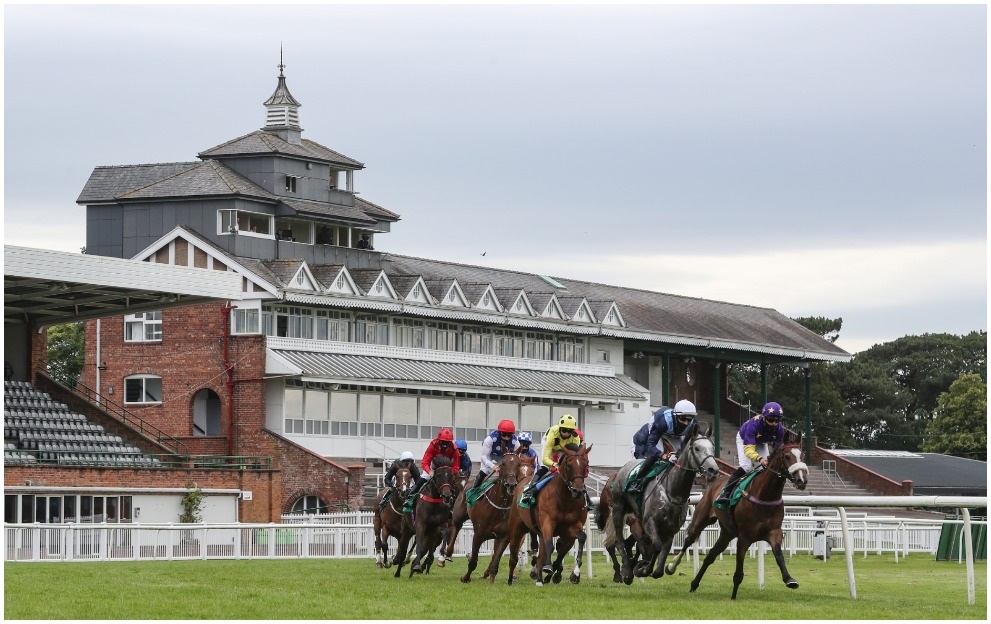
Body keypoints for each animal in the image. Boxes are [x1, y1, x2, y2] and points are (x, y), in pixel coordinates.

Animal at [508, 444, 592, 584]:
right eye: (569, 465)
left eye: (585, 465)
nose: (579, 491)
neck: (564, 499)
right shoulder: (548, 522)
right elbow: (550, 546)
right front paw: (548, 567)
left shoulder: (571, 527)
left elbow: (580, 538)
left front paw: (574, 574)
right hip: (517, 527)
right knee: (515, 549)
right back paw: (512, 578)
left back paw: (541, 577)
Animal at [668, 428, 812, 600]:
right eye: (787, 456)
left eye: (802, 455)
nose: (802, 481)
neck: (765, 495)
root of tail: (714, 481)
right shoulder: (744, 537)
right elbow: (739, 571)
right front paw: (733, 596)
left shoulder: (774, 532)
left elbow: (779, 557)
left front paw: (789, 579)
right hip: (700, 520)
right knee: (689, 540)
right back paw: (671, 566)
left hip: (727, 532)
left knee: (710, 556)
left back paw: (694, 584)